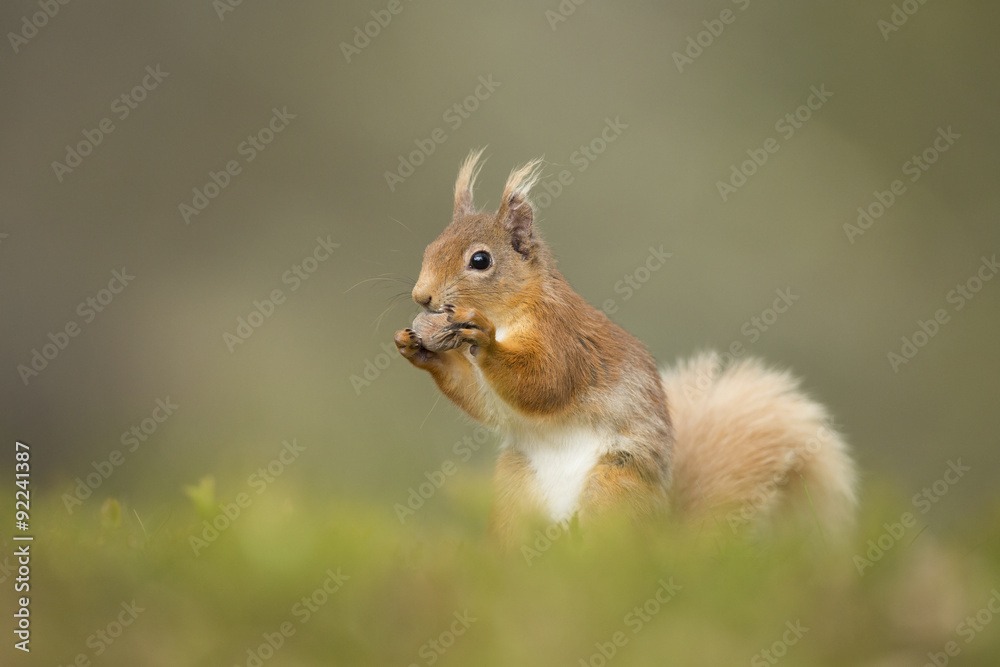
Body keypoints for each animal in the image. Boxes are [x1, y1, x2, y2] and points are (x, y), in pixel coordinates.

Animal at [394, 149, 857, 549]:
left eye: (480, 261)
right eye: (430, 247)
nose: (421, 297)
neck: (513, 310)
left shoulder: (564, 339)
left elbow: (544, 384)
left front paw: (483, 339)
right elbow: (481, 398)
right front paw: (414, 346)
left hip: (614, 485)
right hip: (515, 487)